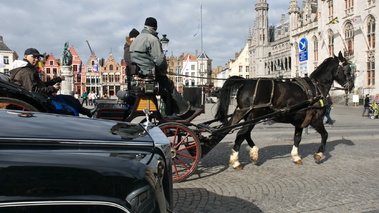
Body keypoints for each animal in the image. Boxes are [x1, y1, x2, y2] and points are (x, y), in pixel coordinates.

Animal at [217, 52, 356, 170]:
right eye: (348, 69)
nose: (352, 85)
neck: (316, 87)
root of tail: (246, 81)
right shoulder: (316, 119)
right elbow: (325, 135)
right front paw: (318, 155)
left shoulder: (300, 121)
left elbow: (297, 138)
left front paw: (296, 157)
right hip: (252, 117)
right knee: (241, 134)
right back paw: (236, 161)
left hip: (247, 116)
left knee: (245, 134)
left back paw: (254, 154)